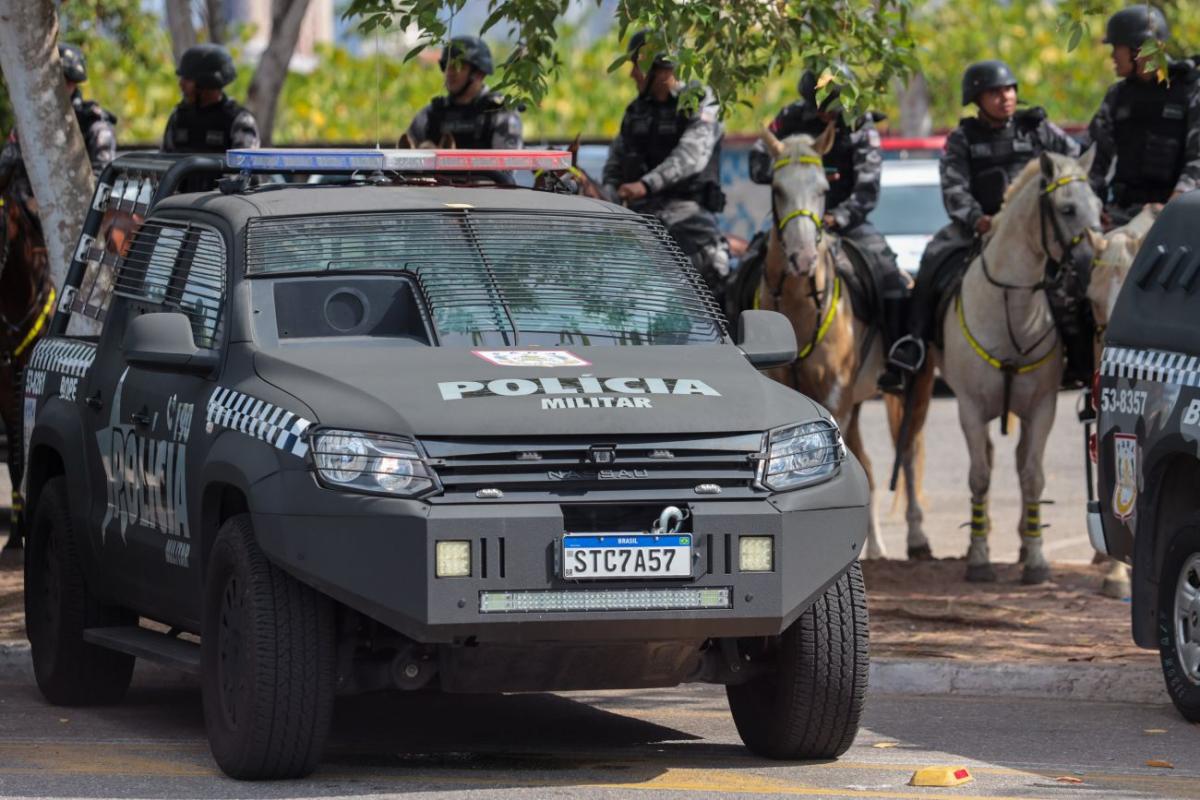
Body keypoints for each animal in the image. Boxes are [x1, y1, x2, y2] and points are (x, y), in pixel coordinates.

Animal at [757, 127, 930, 561]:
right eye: (777, 188)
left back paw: (917, 537)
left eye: (823, 188)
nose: (803, 257)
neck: (800, 311)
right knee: (868, 461)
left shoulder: (835, 395)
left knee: (907, 453)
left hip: (913, 390)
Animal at [914, 149, 1101, 584]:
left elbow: (1033, 476)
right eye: (1067, 208)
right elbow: (980, 476)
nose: (1090, 264)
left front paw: (1035, 559)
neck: (1010, 309)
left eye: (1099, 205)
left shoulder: (1042, 408)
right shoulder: (969, 409)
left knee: (1017, 463)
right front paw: (980, 558)